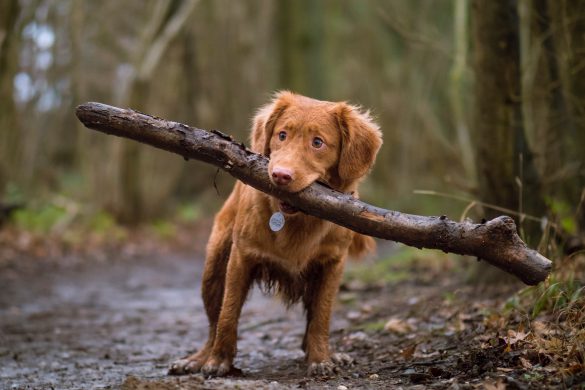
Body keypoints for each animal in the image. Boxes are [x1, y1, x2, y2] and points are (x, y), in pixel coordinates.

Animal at [168, 92, 384, 378]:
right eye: (282, 135)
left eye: (318, 143)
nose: (280, 175)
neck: (297, 221)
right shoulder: (241, 256)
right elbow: (228, 313)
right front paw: (219, 361)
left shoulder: (332, 264)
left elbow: (321, 316)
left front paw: (320, 359)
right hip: (213, 268)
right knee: (213, 321)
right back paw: (198, 358)